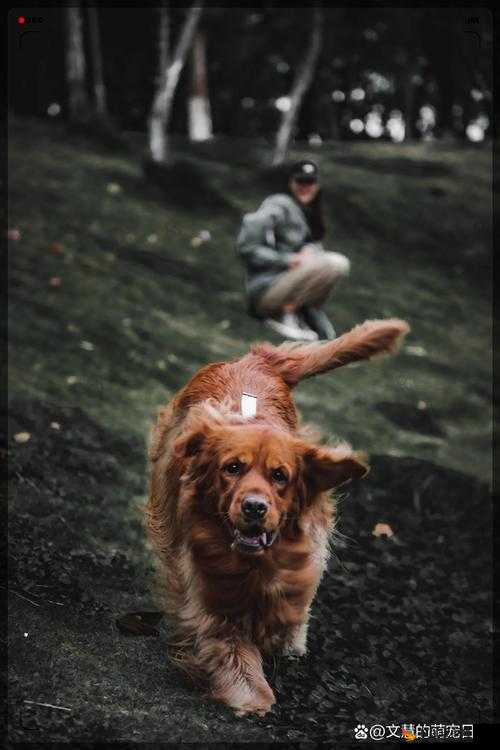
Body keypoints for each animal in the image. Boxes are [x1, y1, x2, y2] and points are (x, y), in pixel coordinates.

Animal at [145, 318, 410, 716]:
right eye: (232, 468)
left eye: (280, 476)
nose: (255, 507)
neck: (252, 562)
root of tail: (257, 359)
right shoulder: (207, 586)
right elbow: (230, 646)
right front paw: (252, 696)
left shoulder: (302, 555)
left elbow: (291, 600)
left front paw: (282, 634)